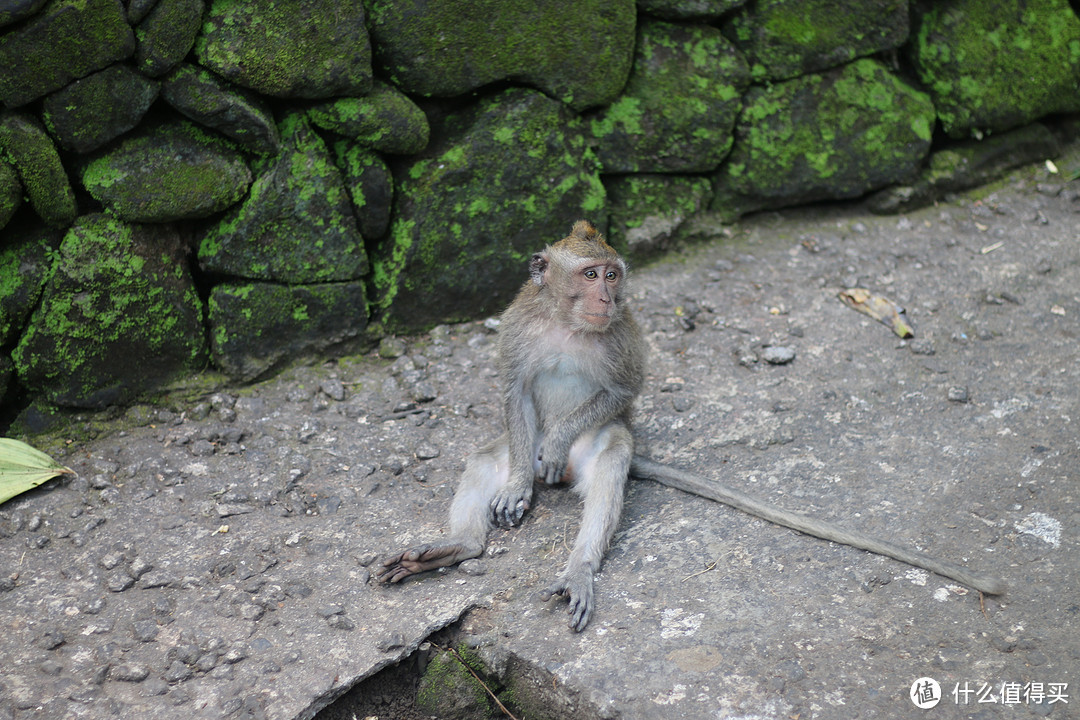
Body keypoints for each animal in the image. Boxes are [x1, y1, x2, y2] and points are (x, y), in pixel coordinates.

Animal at [380, 218, 1002, 630]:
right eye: (590, 273)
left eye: (613, 275)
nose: (607, 295)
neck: (567, 322)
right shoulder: (516, 329)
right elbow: (514, 390)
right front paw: (513, 490)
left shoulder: (623, 333)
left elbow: (622, 391)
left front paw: (554, 440)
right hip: (515, 448)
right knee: (489, 459)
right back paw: (458, 545)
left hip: (596, 449)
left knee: (612, 460)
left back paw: (579, 566)